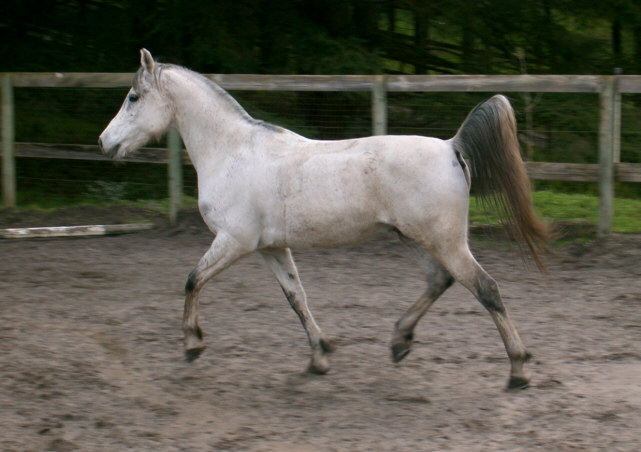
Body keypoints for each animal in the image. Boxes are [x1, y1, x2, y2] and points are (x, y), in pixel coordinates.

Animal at [99, 49, 549, 390]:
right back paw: (399, 341)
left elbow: (193, 280)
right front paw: (319, 358)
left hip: (445, 241)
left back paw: (518, 371)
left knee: (486, 288)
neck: (233, 151)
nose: (105, 142)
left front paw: (192, 344)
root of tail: (451, 147)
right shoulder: (271, 248)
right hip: (414, 237)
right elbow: (296, 298)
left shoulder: (233, 241)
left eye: (133, 97)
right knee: (440, 281)